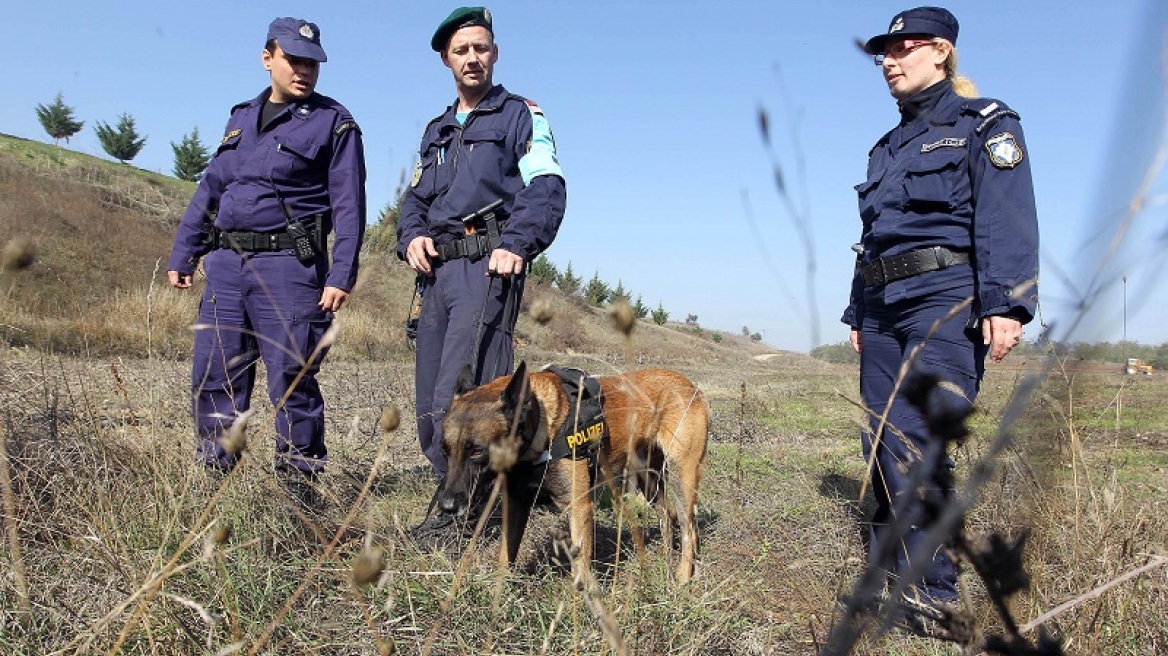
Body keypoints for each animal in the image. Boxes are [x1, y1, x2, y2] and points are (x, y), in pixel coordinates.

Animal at [436, 361, 705, 581]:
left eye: (477, 451)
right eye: (444, 450)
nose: (446, 506)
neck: (541, 426)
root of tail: (693, 387)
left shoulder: (580, 507)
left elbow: (580, 571)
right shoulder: (516, 504)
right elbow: (505, 556)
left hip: (681, 475)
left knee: (689, 528)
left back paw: (683, 577)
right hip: (647, 478)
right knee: (667, 514)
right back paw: (665, 560)